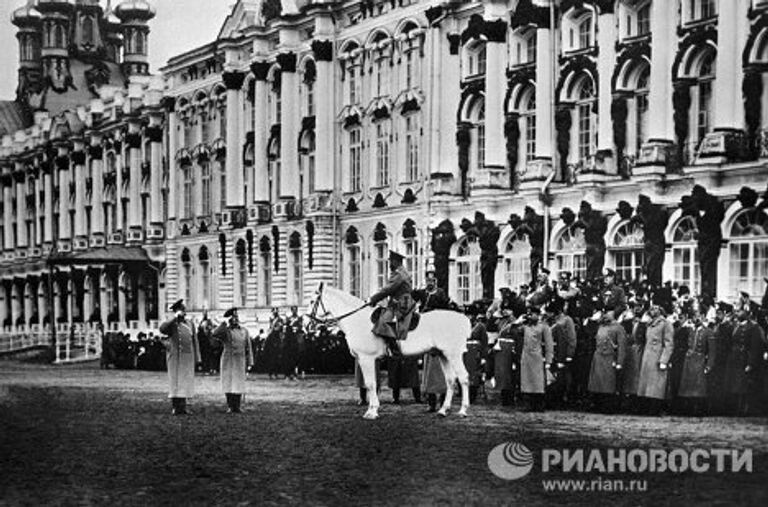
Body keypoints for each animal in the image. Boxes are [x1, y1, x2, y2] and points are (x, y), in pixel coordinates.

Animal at [308, 286, 472, 420]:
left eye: (311, 301)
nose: (308, 324)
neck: (357, 320)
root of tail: (462, 318)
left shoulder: (366, 359)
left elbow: (370, 384)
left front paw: (372, 411)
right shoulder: (367, 360)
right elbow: (372, 384)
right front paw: (373, 408)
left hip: (454, 355)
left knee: (463, 378)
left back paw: (463, 410)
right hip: (443, 355)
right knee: (450, 380)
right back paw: (443, 410)